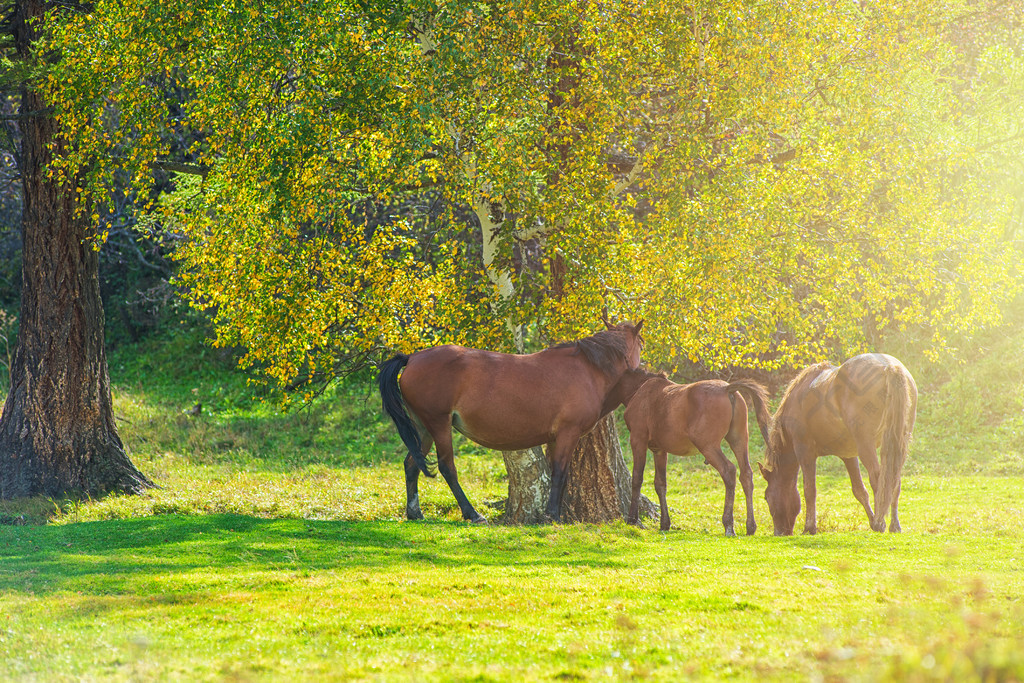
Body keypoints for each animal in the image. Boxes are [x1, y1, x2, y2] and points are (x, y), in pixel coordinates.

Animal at [376, 319, 647, 524]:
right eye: (641, 344)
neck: (589, 370)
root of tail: (412, 358)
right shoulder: (568, 433)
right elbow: (560, 474)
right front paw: (551, 515)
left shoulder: (555, 438)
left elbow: (558, 473)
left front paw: (554, 512)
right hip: (438, 424)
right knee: (446, 467)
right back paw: (473, 514)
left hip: (423, 427)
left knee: (411, 464)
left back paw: (415, 513)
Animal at [618, 370, 770, 536]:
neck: (640, 389)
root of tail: (727, 388)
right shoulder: (659, 450)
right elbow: (660, 484)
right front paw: (665, 523)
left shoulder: (638, 440)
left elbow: (637, 479)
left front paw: (632, 518)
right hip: (739, 440)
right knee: (746, 474)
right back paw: (750, 526)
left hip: (708, 446)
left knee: (729, 471)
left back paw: (728, 524)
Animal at [761, 356, 921, 536]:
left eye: (766, 497)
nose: (779, 532)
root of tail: (890, 366)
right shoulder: (849, 455)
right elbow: (859, 490)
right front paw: (871, 521)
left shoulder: (805, 452)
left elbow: (810, 490)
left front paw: (810, 527)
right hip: (899, 443)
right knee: (894, 481)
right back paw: (893, 525)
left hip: (866, 445)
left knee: (879, 479)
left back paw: (880, 522)